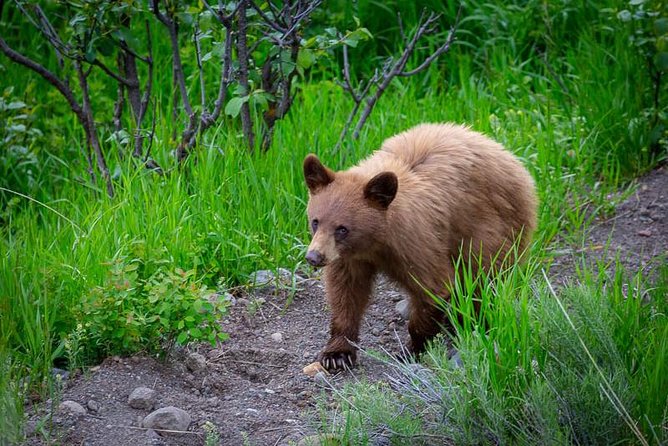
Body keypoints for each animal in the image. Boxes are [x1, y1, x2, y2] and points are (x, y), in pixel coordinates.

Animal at [302, 121, 536, 370]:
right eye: (315, 221)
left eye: (342, 229)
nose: (314, 257)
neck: (376, 242)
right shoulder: (350, 258)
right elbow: (345, 292)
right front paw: (337, 353)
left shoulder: (416, 243)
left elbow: (433, 288)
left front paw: (411, 348)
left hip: (490, 229)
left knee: (482, 277)